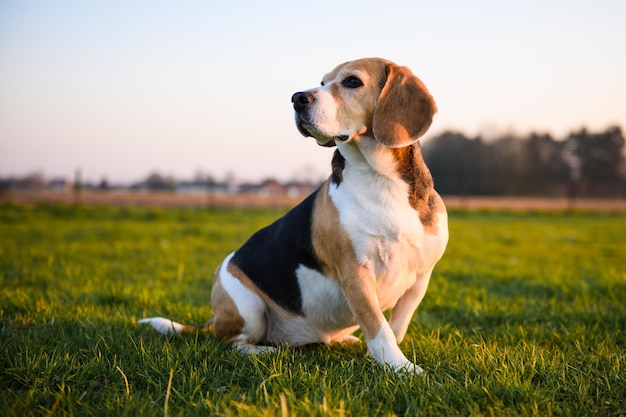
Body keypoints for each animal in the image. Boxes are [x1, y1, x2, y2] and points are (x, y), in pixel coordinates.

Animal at [139, 57, 446, 370]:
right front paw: (402, 368)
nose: (298, 98)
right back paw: (262, 351)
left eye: (352, 82)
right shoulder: (356, 275)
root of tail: (213, 320)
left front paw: (389, 362)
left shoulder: (420, 279)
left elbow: (396, 327)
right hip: (248, 308)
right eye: (322, 82)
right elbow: (378, 326)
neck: (380, 178)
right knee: (231, 343)